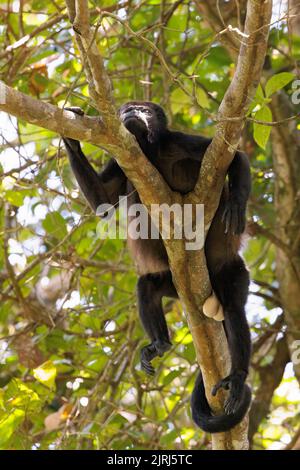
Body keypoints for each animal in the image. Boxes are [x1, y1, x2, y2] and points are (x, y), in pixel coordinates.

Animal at [62, 103, 252, 434]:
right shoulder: (120, 161)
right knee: (147, 287)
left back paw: (238, 377)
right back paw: (160, 344)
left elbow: (234, 156)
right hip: (173, 283)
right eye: (128, 108)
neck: (148, 152)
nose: (134, 113)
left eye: (145, 109)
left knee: (232, 307)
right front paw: (72, 140)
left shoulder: (179, 141)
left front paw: (237, 204)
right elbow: (103, 203)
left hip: (234, 272)